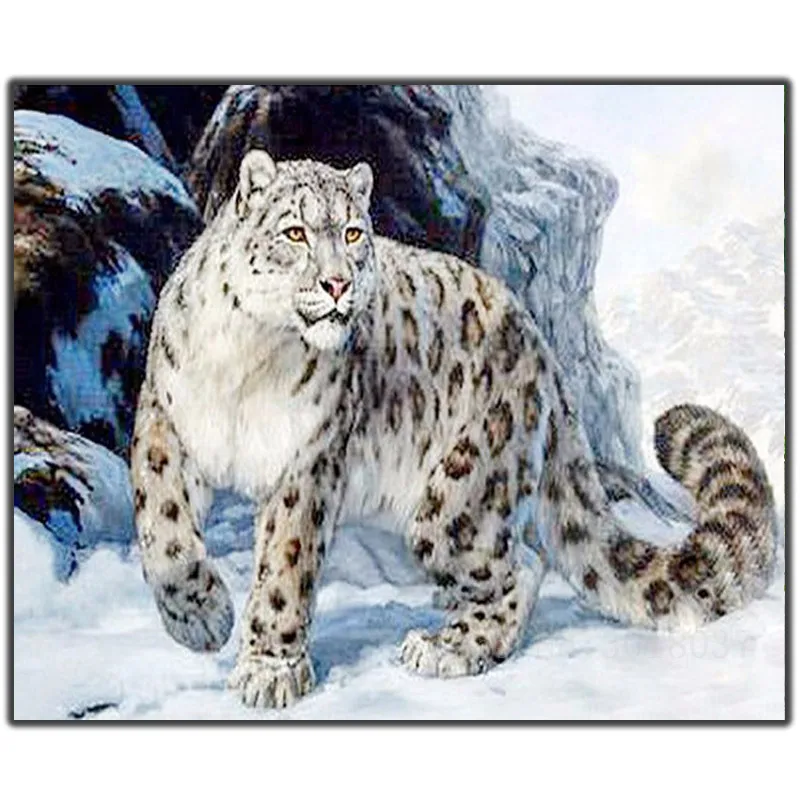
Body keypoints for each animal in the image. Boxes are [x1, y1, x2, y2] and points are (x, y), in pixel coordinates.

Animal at [130, 149, 778, 709]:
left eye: (353, 234)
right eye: (295, 233)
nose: (339, 284)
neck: (251, 357)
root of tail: (542, 350)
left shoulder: (308, 459)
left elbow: (285, 564)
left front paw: (269, 670)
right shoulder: (165, 419)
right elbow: (161, 523)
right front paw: (199, 618)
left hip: (458, 500)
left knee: (521, 564)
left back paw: (450, 647)